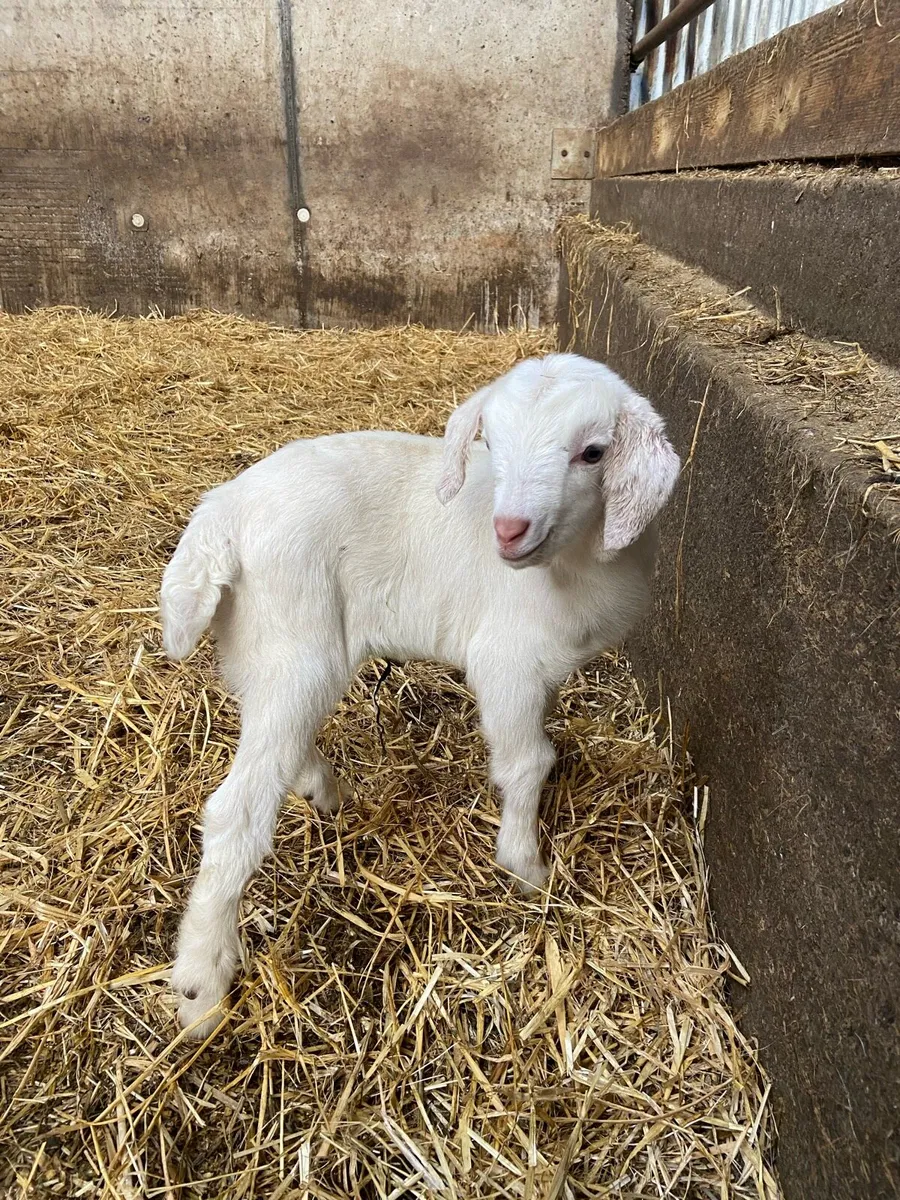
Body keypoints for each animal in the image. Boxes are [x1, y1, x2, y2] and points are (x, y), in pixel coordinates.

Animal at [160, 352, 680, 1036]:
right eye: (493, 441)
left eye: (593, 453)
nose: (509, 530)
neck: (579, 567)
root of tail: (223, 513)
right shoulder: (507, 662)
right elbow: (527, 761)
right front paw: (527, 869)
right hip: (295, 639)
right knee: (235, 811)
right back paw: (201, 988)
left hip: (260, 645)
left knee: (277, 736)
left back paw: (321, 789)